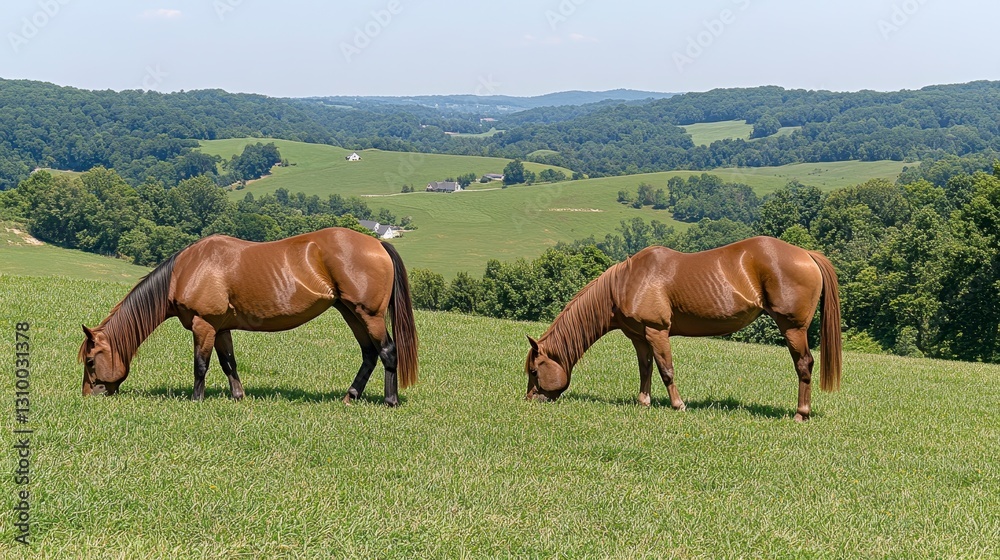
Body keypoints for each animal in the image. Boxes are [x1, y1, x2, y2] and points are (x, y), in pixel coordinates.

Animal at [79, 227, 418, 406]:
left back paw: (390, 400)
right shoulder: (220, 328)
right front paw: (238, 396)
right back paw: (351, 396)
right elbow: (228, 363)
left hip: (369, 315)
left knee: (387, 351)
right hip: (350, 313)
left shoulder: (204, 325)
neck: (186, 270)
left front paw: (196, 400)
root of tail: (378, 243)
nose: (88, 395)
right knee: (369, 354)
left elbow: (200, 365)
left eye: (90, 361)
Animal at [525, 236, 841, 421]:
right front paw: (644, 402)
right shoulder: (639, 337)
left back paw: (801, 414)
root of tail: (807, 254)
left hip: (793, 328)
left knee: (804, 365)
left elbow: (666, 370)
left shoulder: (656, 331)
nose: (529, 400)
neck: (625, 282)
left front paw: (678, 405)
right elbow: (645, 369)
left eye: (534, 371)